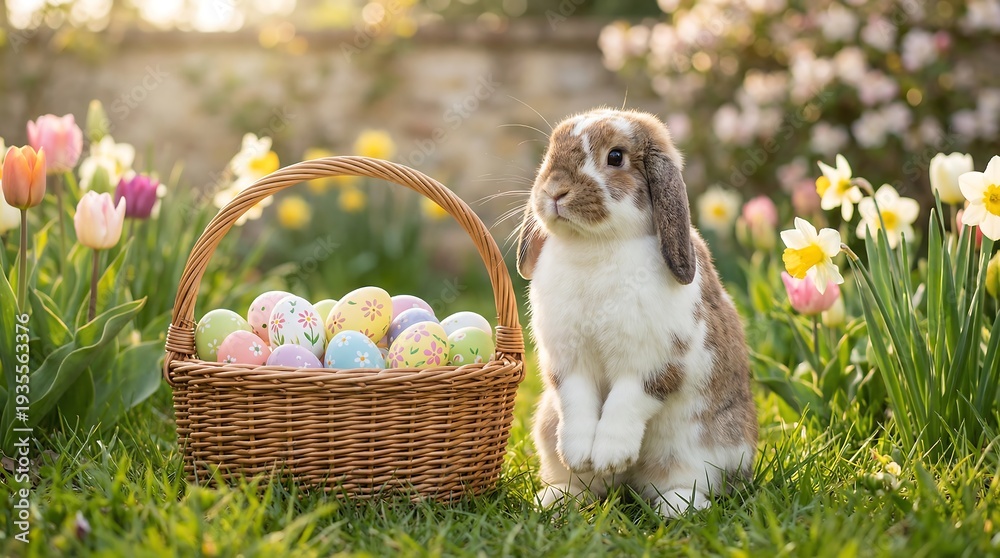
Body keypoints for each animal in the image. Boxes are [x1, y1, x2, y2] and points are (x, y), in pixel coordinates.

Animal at [515, 108, 758, 518]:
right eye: (551, 151)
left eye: (616, 157)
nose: (555, 191)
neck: (596, 245)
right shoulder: (568, 362)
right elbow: (577, 403)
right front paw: (580, 455)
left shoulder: (655, 362)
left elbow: (626, 402)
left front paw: (609, 456)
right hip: (547, 426)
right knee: (585, 485)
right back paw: (556, 499)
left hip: (699, 445)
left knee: (683, 480)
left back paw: (676, 506)